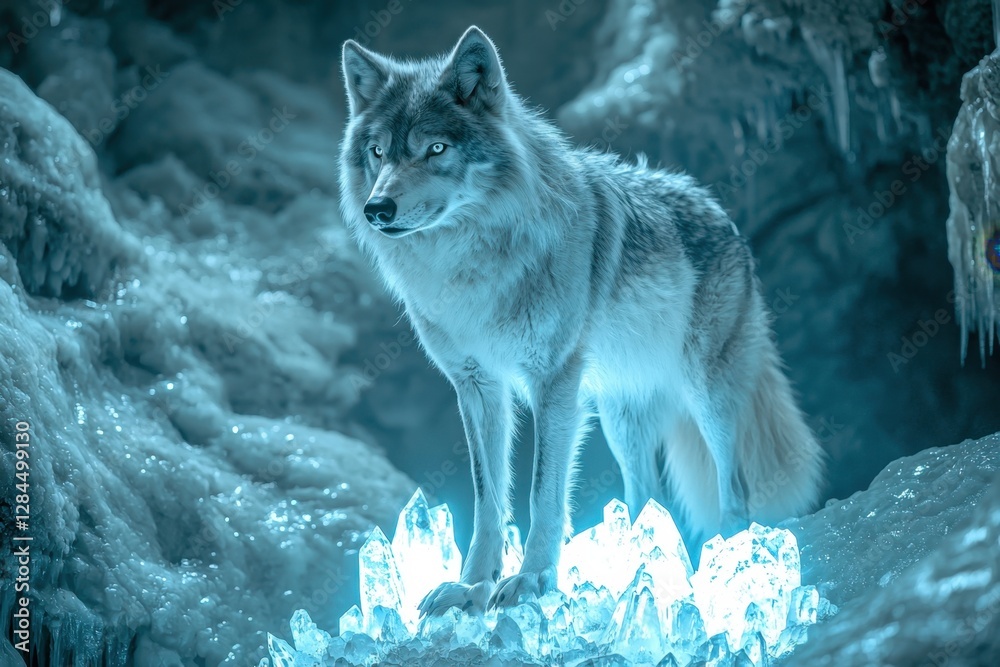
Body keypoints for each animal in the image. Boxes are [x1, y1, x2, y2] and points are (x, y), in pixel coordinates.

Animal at [339, 26, 824, 614]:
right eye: (377, 152)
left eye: (435, 149)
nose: (377, 208)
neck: (467, 270)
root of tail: (719, 210)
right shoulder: (478, 387)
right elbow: (487, 495)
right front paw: (471, 586)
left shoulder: (552, 381)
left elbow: (541, 490)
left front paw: (532, 579)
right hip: (619, 416)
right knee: (647, 495)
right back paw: (637, 571)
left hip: (706, 396)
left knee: (734, 489)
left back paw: (722, 563)